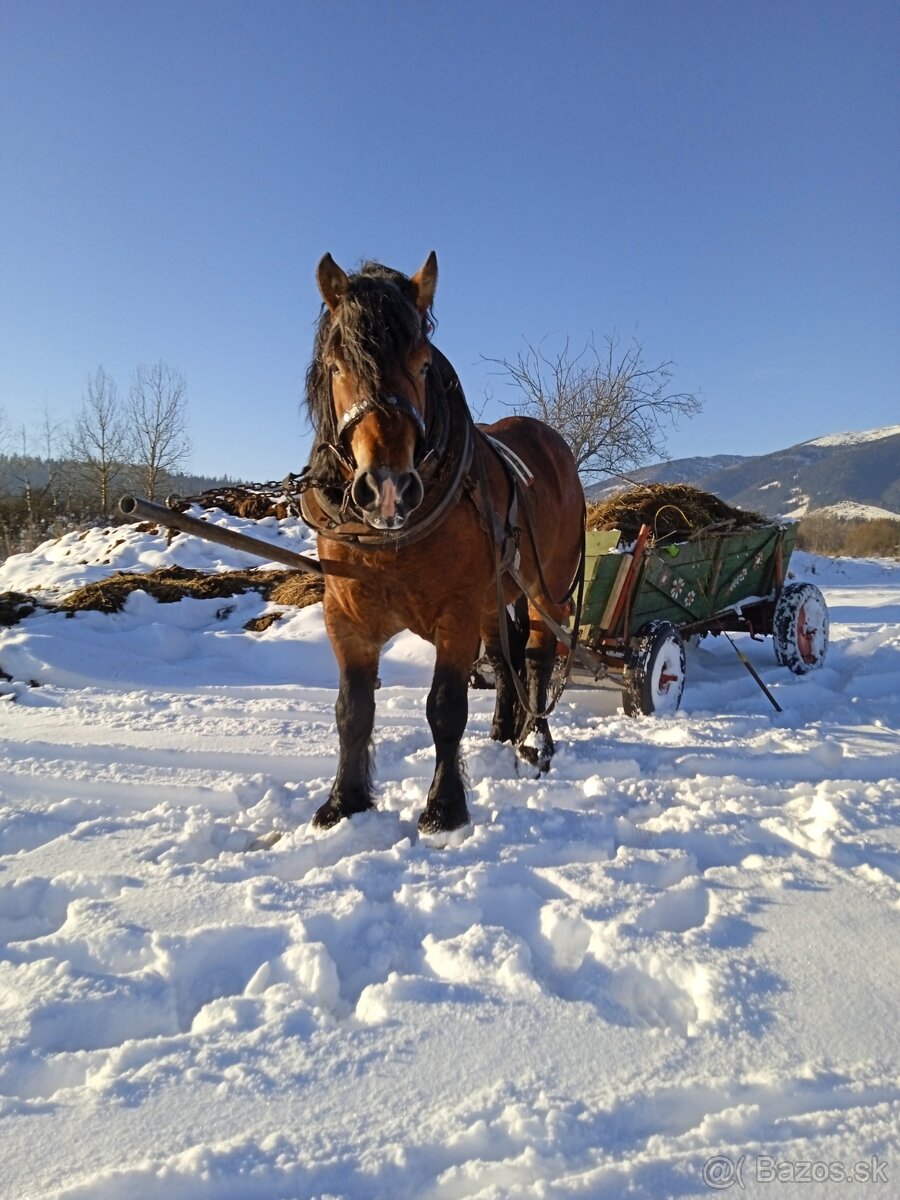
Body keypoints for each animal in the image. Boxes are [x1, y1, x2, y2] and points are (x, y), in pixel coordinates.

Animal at [301, 253, 585, 835]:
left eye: (422, 363)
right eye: (336, 365)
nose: (387, 486)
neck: (390, 538)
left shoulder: (456, 612)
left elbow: (445, 707)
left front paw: (445, 805)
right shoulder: (345, 616)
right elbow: (352, 710)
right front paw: (344, 800)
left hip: (545, 589)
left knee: (538, 656)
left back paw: (536, 740)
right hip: (495, 596)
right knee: (505, 655)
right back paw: (503, 731)